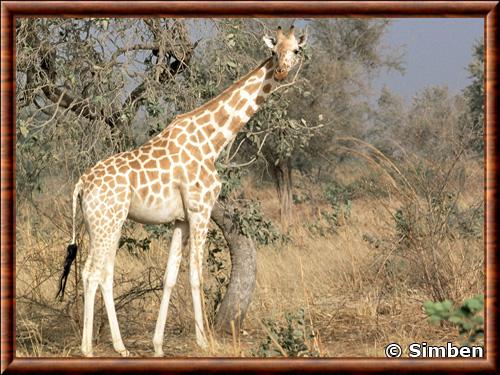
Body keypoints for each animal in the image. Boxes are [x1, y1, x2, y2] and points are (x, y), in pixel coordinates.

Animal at [55, 25, 304, 358]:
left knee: (101, 273)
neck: (213, 141)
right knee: (92, 272)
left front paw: (158, 345)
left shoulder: (181, 220)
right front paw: (203, 340)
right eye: (274, 49)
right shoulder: (201, 209)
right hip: (107, 223)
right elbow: (196, 275)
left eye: (296, 51)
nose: (280, 72)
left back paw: (121, 346)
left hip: (104, 224)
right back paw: (87, 348)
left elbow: (169, 277)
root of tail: (82, 183)